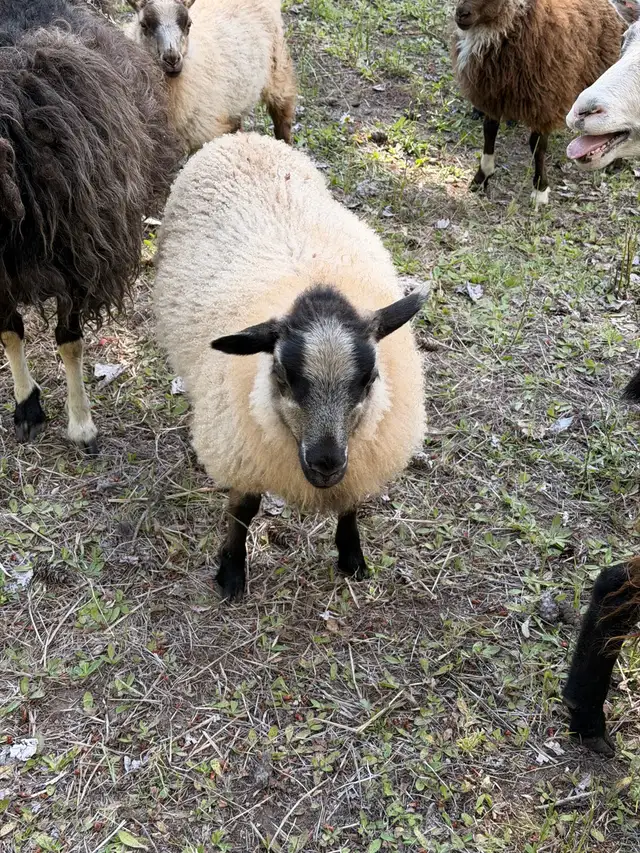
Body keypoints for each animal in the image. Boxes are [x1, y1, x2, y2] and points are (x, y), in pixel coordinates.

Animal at [154, 132, 428, 600]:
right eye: (282, 376)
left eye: (369, 379)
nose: (325, 463)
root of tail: (242, 137)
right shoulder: (245, 448)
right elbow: (243, 508)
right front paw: (231, 572)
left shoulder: (358, 456)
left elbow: (351, 501)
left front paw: (352, 558)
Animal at [451, 0, 628, 205]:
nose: (461, 15)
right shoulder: (493, 94)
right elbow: (489, 131)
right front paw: (481, 177)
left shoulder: (544, 100)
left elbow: (537, 145)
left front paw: (540, 190)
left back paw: (616, 162)